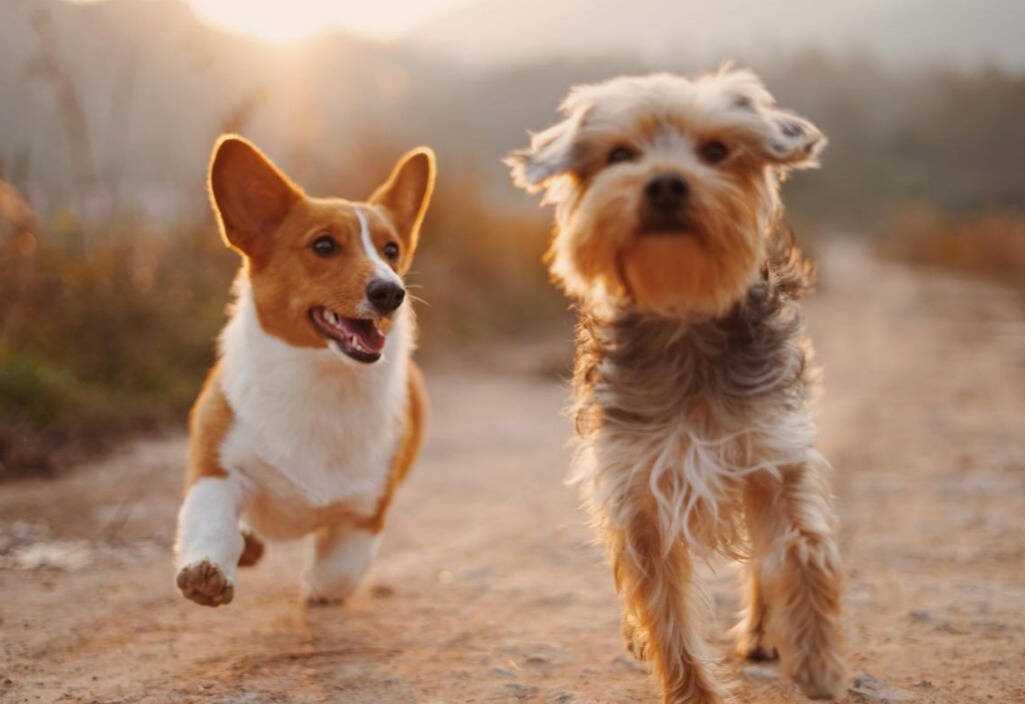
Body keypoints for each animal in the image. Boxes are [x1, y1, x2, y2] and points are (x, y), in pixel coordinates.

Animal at [176, 136, 432, 606]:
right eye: (324, 246)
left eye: (391, 250)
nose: (391, 292)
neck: (321, 377)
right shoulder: (217, 468)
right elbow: (211, 522)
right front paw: (207, 572)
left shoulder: (365, 512)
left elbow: (338, 573)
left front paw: (316, 588)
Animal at [506, 67, 848, 704]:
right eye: (620, 154)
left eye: (716, 151)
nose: (666, 183)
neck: (683, 315)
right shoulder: (638, 487)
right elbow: (663, 606)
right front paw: (693, 689)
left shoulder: (772, 454)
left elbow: (803, 549)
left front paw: (818, 659)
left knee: (762, 561)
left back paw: (764, 632)